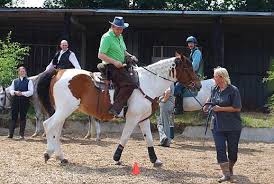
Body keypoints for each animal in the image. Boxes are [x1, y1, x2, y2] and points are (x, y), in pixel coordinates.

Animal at [36, 55, 200, 165]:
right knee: (48, 125)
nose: (198, 85)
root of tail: (58, 72)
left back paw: (61, 157)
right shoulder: (133, 118)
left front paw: (155, 160)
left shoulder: (143, 119)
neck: (147, 83)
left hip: (62, 111)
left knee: (56, 130)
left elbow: (148, 139)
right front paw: (116, 157)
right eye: (188, 68)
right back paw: (48, 153)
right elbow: (125, 137)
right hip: (64, 109)